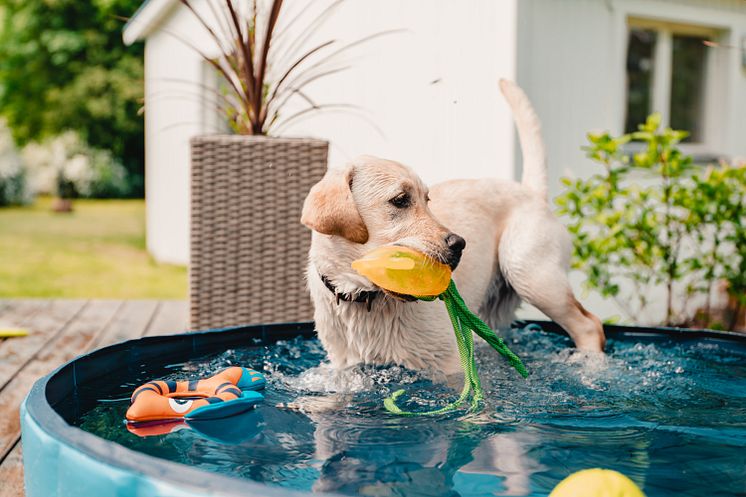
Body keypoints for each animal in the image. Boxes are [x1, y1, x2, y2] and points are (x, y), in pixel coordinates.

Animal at [300, 78, 600, 372]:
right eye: (400, 200)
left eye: (427, 199)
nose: (460, 244)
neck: (364, 297)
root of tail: (530, 192)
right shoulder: (346, 367)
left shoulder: (450, 365)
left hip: (530, 273)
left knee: (590, 325)